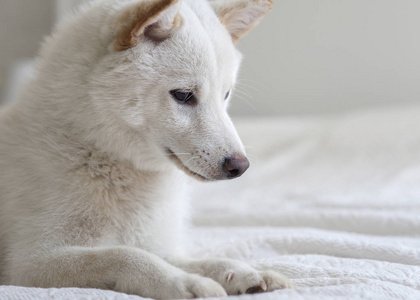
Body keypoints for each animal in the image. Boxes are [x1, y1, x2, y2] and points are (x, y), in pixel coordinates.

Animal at [0, 0, 288, 298]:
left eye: (225, 95)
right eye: (184, 95)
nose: (240, 166)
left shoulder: (154, 243)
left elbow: (197, 261)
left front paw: (242, 271)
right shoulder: (32, 262)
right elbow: (124, 255)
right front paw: (184, 283)